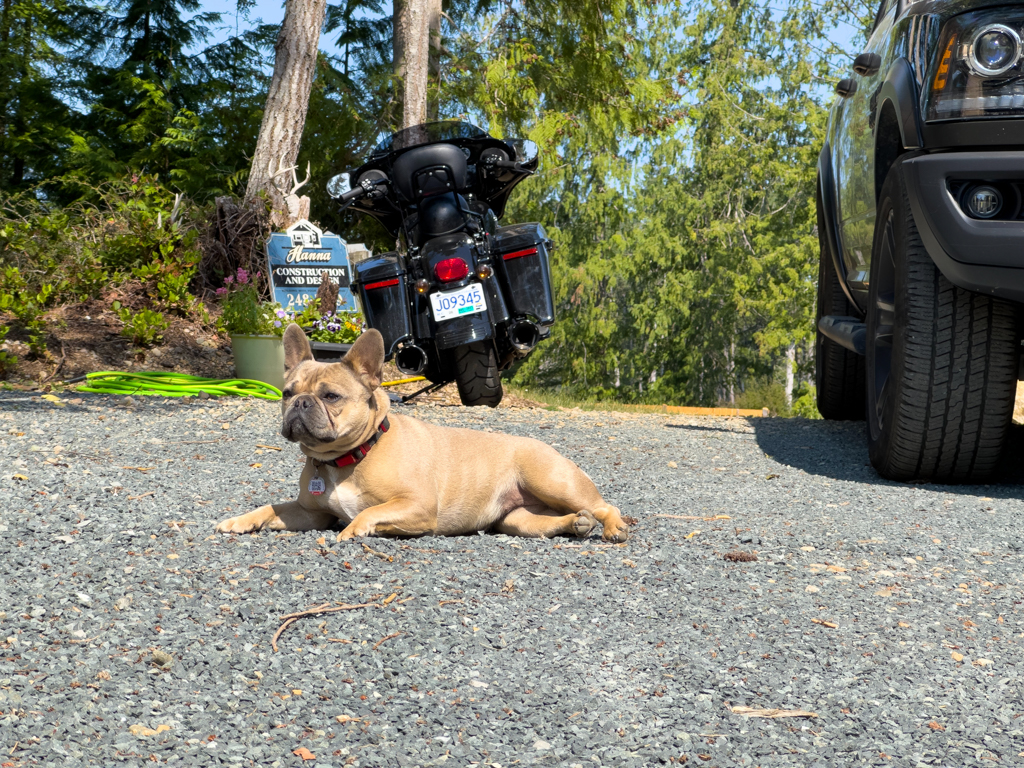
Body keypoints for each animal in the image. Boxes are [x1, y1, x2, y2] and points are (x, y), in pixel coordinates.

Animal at [215, 325, 626, 540]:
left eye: (330, 396)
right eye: (286, 393)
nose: (300, 403)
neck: (346, 458)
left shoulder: (417, 506)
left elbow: (372, 511)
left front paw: (353, 532)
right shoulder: (309, 512)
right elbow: (274, 507)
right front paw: (240, 520)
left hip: (552, 480)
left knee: (606, 506)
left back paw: (613, 528)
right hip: (517, 519)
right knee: (548, 522)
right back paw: (575, 524)